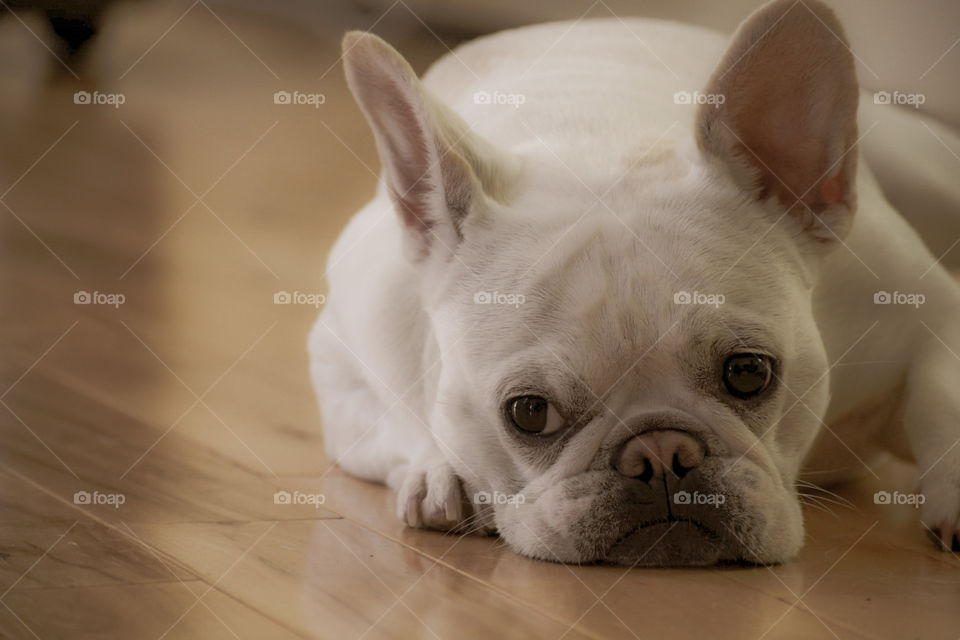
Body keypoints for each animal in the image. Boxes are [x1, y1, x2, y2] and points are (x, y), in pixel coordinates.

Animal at [310, 1, 960, 564]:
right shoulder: (341, 364)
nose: (660, 453)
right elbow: (397, 416)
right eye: (529, 413)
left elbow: (941, 389)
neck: (600, 136)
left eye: (749, 373)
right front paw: (440, 470)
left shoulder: (924, 305)